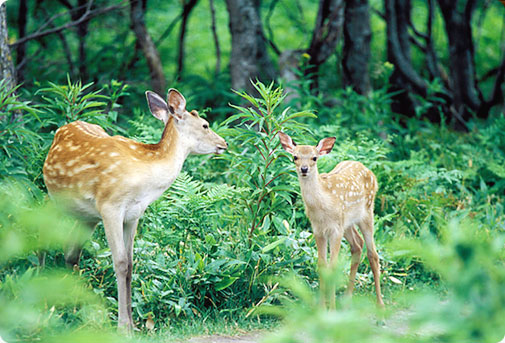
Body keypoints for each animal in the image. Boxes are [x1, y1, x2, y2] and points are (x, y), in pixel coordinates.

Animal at [43, 89, 228, 330]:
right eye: (205, 125)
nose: (224, 143)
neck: (145, 180)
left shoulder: (133, 215)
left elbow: (131, 264)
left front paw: (133, 324)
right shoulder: (110, 207)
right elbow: (120, 263)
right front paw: (123, 326)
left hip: (86, 216)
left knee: (71, 250)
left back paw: (73, 307)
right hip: (57, 198)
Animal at [278, 132, 384, 310]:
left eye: (314, 158)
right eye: (295, 157)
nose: (304, 169)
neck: (323, 207)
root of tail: (370, 172)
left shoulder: (335, 230)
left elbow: (333, 266)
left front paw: (332, 309)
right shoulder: (318, 230)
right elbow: (322, 265)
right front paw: (322, 308)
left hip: (367, 212)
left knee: (373, 254)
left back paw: (380, 304)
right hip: (347, 223)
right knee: (357, 244)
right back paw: (347, 299)